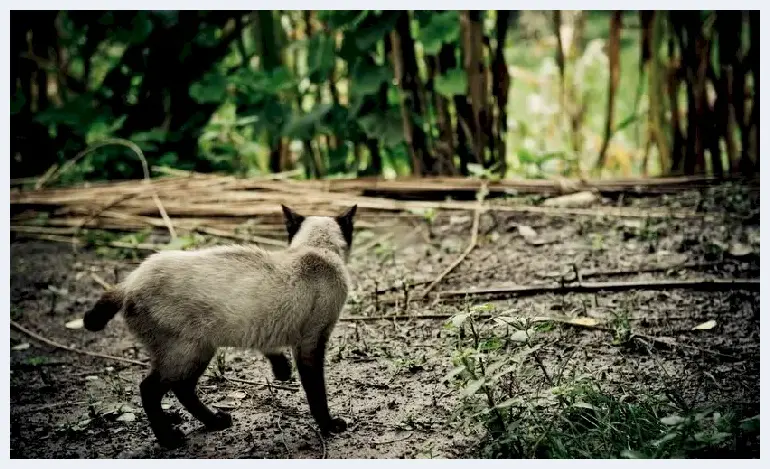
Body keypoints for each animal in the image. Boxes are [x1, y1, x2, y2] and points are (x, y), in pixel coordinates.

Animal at [82, 205, 356, 446]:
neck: (316, 249)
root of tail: (128, 283)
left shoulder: (275, 334)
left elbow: (273, 354)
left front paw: (282, 372)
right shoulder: (311, 342)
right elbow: (316, 393)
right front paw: (328, 426)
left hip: (200, 351)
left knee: (183, 389)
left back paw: (214, 422)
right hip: (186, 353)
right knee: (150, 391)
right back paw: (170, 440)